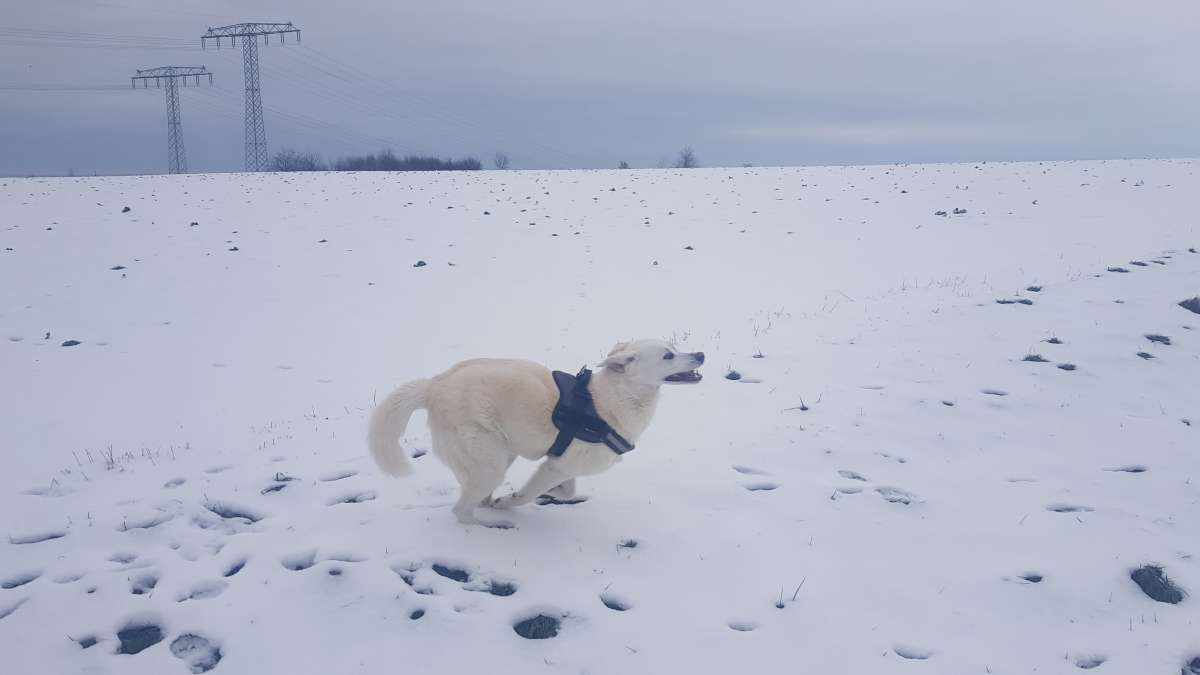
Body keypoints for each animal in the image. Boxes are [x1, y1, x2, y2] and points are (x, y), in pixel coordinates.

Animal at [364, 338, 700, 523]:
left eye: (675, 348)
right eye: (668, 355)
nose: (701, 355)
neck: (611, 399)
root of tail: (434, 387)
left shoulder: (561, 464)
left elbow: (567, 490)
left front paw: (545, 494)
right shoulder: (555, 467)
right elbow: (528, 495)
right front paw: (511, 502)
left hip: (500, 454)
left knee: (472, 495)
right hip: (489, 464)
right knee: (462, 511)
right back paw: (490, 525)